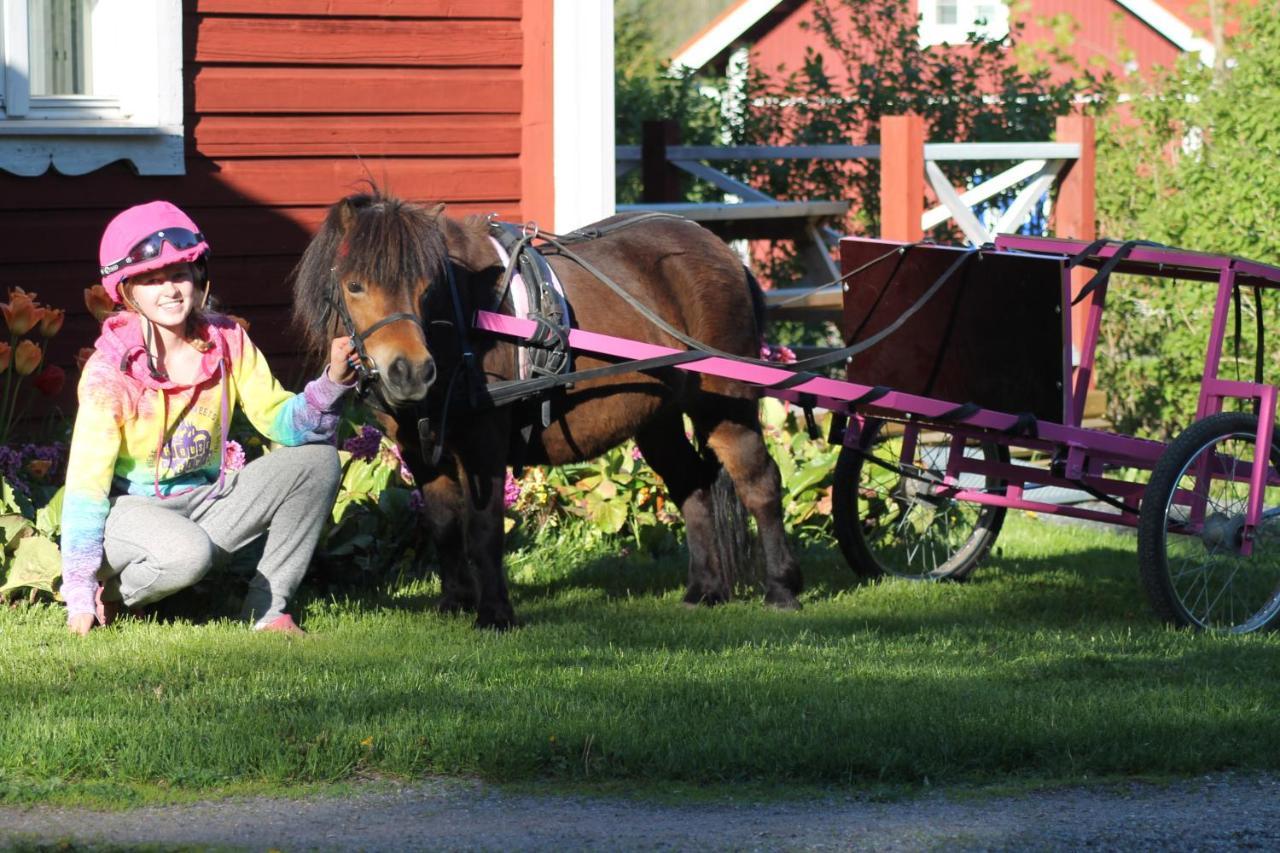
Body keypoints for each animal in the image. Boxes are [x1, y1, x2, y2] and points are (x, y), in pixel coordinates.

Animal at [294, 190, 803, 625]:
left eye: (426, 286)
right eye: (355, 285)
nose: (411, 371)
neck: (463, 320)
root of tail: (722, 252)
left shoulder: (484, 442)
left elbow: (484, 529)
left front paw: (495, 613)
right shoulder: (417, 448)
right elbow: (443, 523)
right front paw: (455, 602)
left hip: (725, 403)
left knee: (759, 482)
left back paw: (781, 588)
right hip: (657, 417)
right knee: (691, 484)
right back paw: (705, 589)